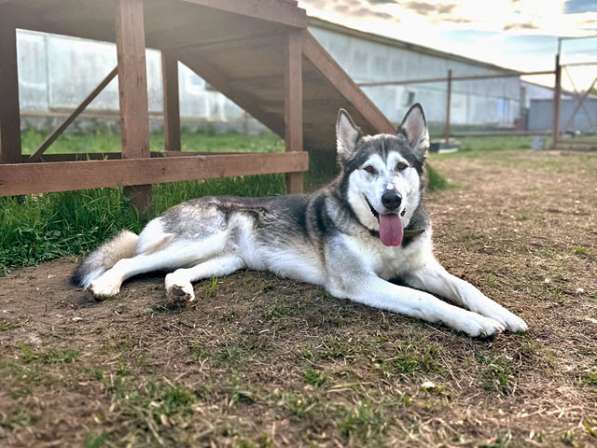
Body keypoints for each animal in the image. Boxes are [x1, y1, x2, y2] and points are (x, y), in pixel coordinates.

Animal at [73, 104, 528, 336]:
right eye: (369, 170)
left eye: (401, 167)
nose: (392, 198)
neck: (378, 236)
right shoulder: (358, 282)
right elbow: (427, 300)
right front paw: (476, 323)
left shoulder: (422, 268)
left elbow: (466, 287)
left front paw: (502, 314)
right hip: (197, 241)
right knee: (129, 260)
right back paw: (106, 284)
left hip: (226, 259)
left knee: (174, 272)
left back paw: (179, 291)